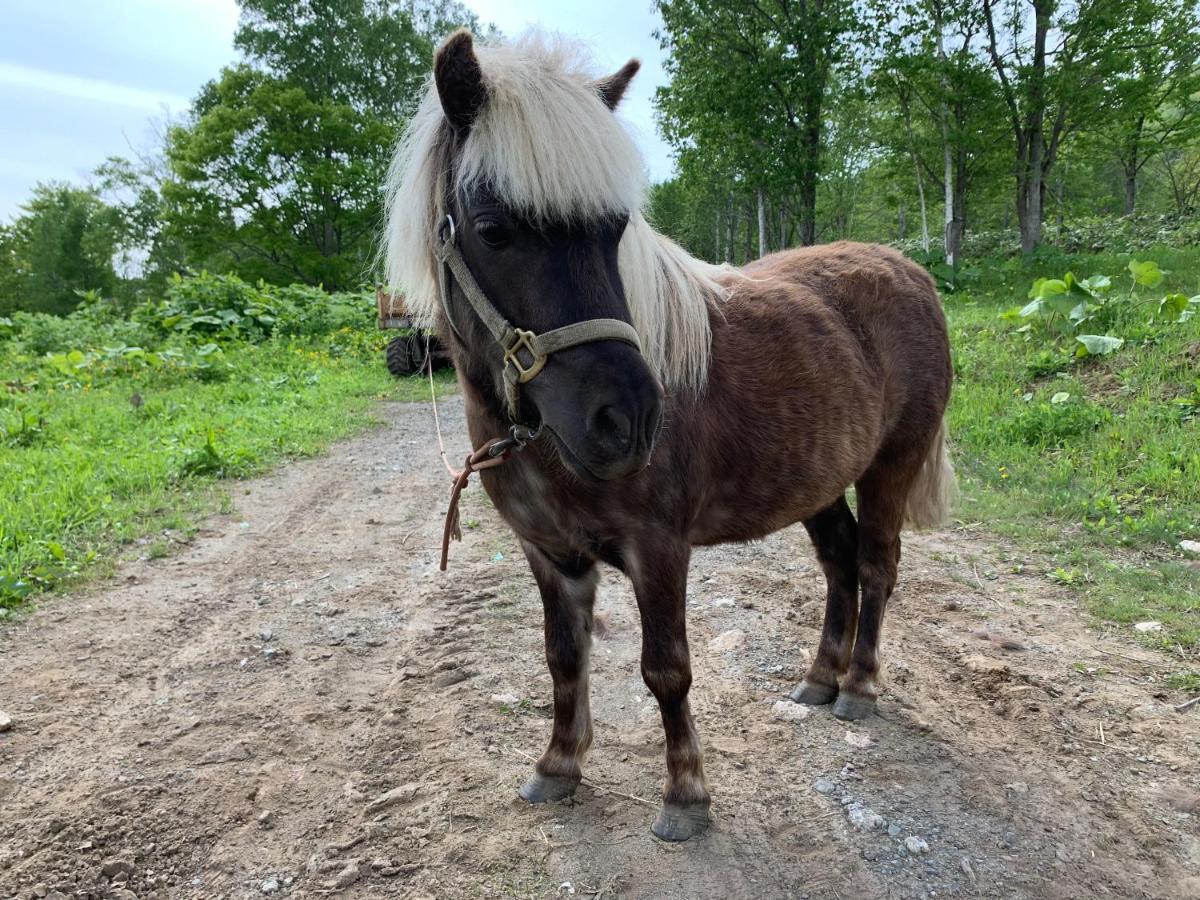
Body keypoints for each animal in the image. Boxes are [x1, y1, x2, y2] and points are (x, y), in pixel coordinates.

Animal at [384, 30, 955, 844]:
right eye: (494, 230)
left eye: (614, 230)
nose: (627, 420)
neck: (542, 442)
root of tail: (911, 269)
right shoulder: (548, 554)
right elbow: (563, 659)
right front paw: (558, 766)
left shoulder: (658, 548)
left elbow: (667, 670)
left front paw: (686, 796)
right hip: (818, 484)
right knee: (840, 565)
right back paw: (818, 680)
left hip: (890, 467)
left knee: (876, 565)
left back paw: (859, 687)